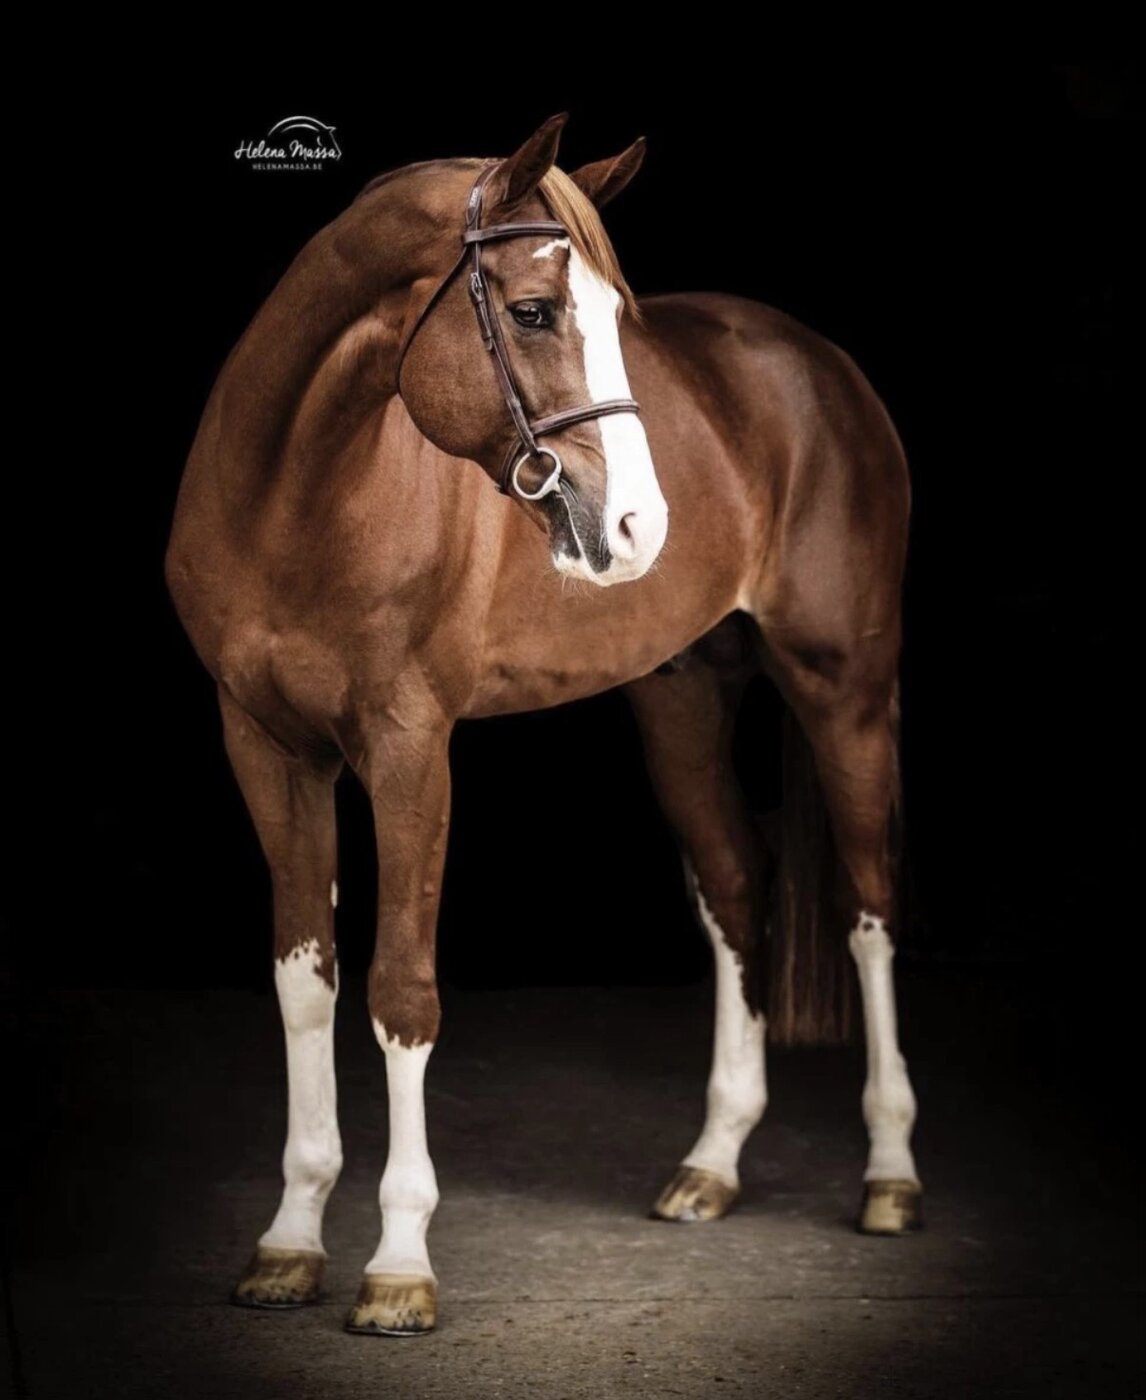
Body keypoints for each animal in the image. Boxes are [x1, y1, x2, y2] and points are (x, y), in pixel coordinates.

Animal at [165, 112, 920, 1337]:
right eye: (530, 311)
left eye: (620, 316)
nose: (642, 523)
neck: (298, 496)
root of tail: (822, 364)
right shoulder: (267, 749)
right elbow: (304, 983)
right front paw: (288, 1240)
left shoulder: (410, 749)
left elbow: (402, 992)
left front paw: (399, 1262)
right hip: (680, 694)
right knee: (735, 885)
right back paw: (710, 1164)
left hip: (842, 686)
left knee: (869, 909)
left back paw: (891, 1176)